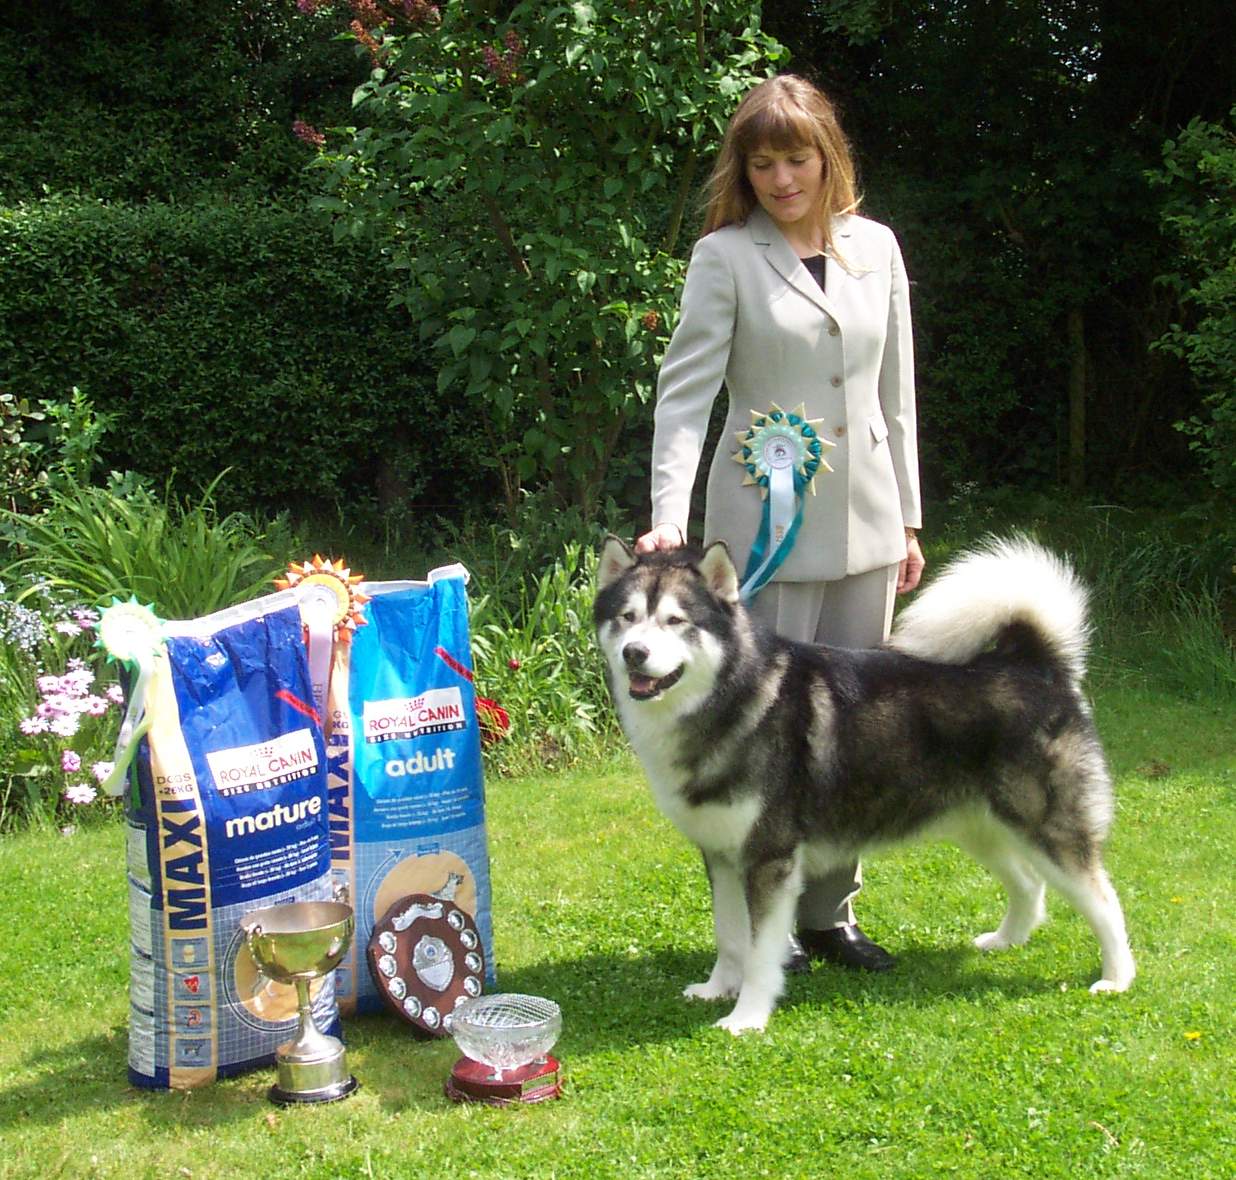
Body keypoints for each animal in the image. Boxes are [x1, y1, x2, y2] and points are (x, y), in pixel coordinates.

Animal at [593, 536, 1132, 1032]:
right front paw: (716, 989)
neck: (732, 700)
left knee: (1105, 901)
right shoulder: (721, 855)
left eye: (675, 621)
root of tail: (1036, 666)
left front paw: (746, 1017)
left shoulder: (769, 858)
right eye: (627, 617)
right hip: (981, 826)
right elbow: (729, 936)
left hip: (1047, 828)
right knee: (1028, 882)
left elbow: (760, 951)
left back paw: (1117, 978)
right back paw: (1006, 940)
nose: (635, 653)